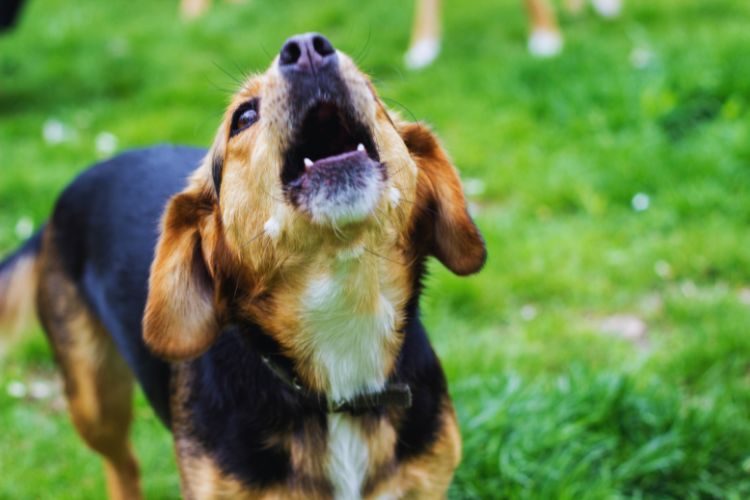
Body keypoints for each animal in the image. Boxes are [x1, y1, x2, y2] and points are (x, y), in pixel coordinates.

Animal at [0, 33, 488, 498]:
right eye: (243, 117)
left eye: (372, 90)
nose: (307, 48)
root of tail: (59, 204)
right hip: (94, 400)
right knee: (123, 465)